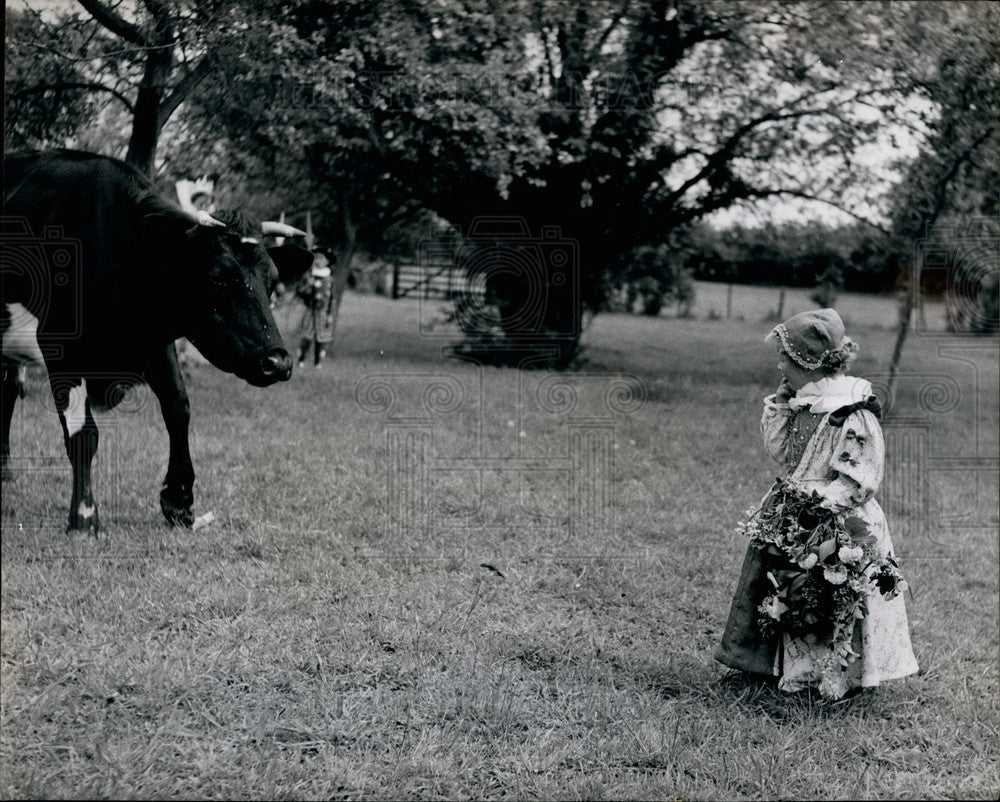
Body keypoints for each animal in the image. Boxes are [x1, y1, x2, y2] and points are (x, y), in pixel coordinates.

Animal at [0, 152, 312, 532]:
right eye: (218, 279)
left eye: (273, 284)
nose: (278, 361)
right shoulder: (61, 345)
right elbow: (83, 434)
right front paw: (84, 516)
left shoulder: (155, 341)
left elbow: (178, 408)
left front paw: (178, 500)